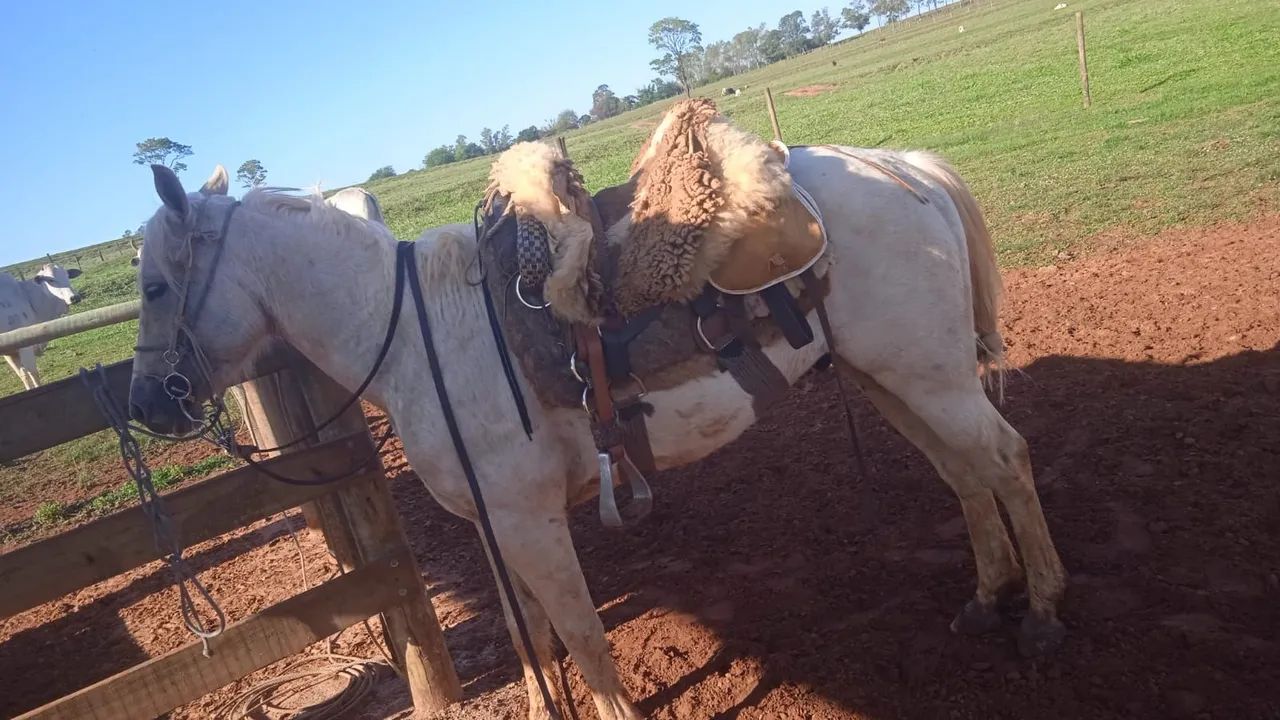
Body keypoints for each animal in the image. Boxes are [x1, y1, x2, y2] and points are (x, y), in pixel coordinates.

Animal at [128, 148, 1066, 719]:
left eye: (152, 287)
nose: (144, 404)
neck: (414, 336)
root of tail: (902, 166)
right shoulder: (492, 527)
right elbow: (529, 634)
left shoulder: (533, 522)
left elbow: (580, 631)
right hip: (894, 379)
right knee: (964, 472)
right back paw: (988, 598)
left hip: (931, 376)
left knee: (1007, 459)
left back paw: (1044, 612)